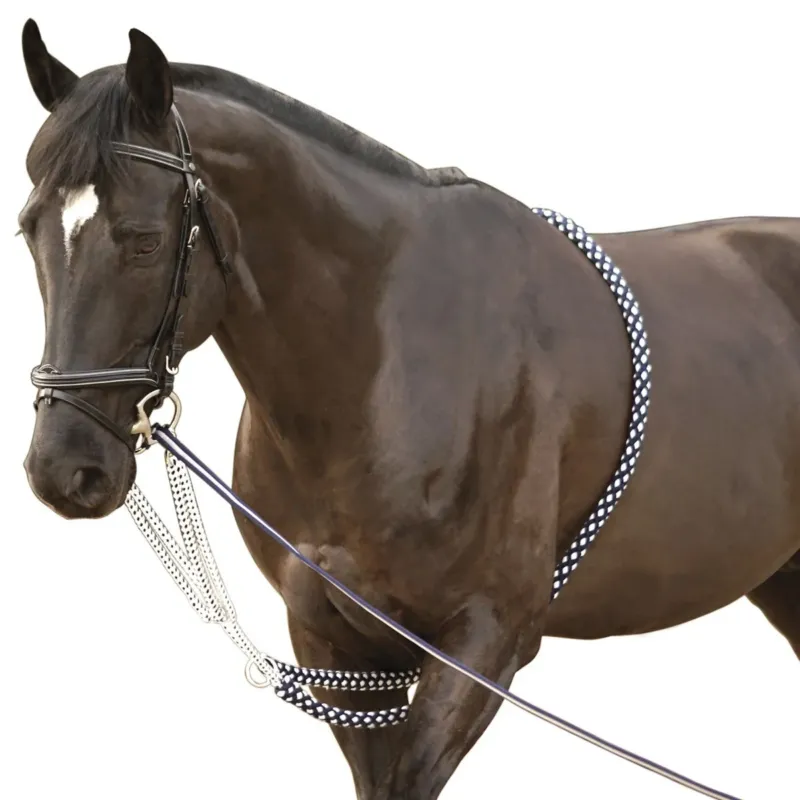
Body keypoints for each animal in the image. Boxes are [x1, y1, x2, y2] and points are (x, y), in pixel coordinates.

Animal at [18, 18, 800, 799]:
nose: (64, 468)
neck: (389, 367)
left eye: (145, 241)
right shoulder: (334, 640)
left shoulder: (482, 641)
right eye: (30, 230)